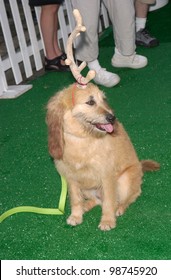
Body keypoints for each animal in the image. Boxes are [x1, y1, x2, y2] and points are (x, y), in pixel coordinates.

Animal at [46, 82, 160, 231]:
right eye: (90, 102)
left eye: (103, 99)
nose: (112, 118)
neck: (82, 139)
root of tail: (140, 166)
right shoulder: (71, 178)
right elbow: (75, 199)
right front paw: (76, 216)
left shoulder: (107, 176)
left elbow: (109, 202)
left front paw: (107, 221)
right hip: (87, 188)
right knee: (97, 200)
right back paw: (85, 206)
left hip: (124, 180)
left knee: (130, 196)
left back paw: (120, 208)